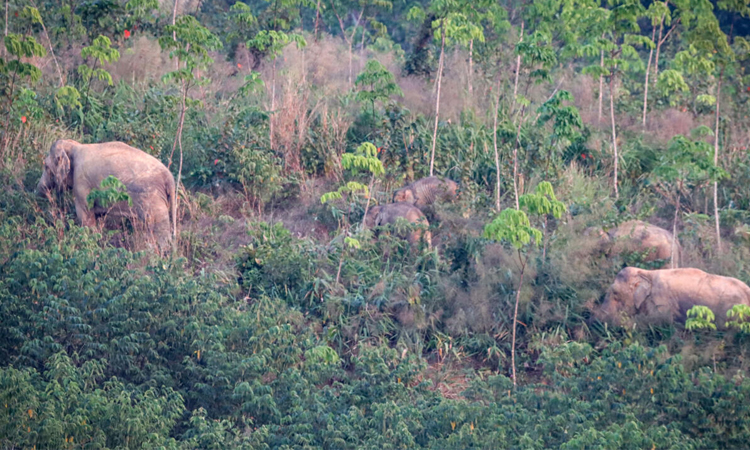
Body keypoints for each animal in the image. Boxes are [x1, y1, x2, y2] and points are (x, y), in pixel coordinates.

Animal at [36, 139, 177, 249]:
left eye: (46, 166)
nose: (38, 192)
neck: (75, 145)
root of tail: (169, 177)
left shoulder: (82, 183)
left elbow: (85, 214)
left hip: (151, 197)